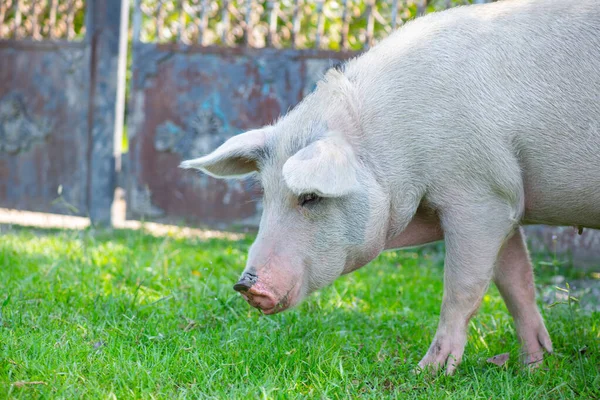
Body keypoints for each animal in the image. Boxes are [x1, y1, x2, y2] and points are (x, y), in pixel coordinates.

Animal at [179, 0, 600, 376]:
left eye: (310, 197)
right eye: (266, 194)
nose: (245, 283)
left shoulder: (480, 196)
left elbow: (462, 288)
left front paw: (428, 373)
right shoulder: (508, 200)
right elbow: (516, 285)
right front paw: (535, 367)